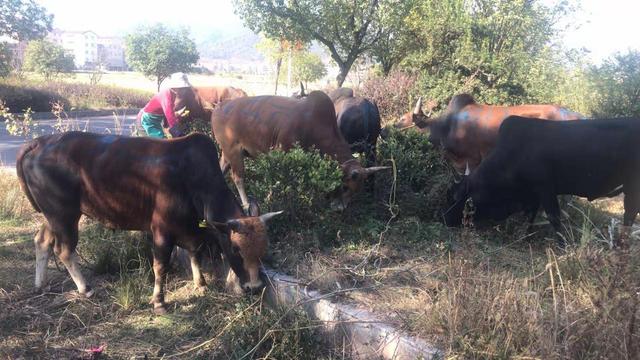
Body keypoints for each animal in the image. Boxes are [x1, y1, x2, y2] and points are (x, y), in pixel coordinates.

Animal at [212, 90, 388, 211]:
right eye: (345, 186)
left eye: (356, 190)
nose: (339, 209)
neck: (314, 124)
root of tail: (219, 107)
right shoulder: (281, 154)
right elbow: (277, 181)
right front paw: (271, 199)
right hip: (233, 151)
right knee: (238, 178)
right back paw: (247, 205)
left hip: (226, 154)